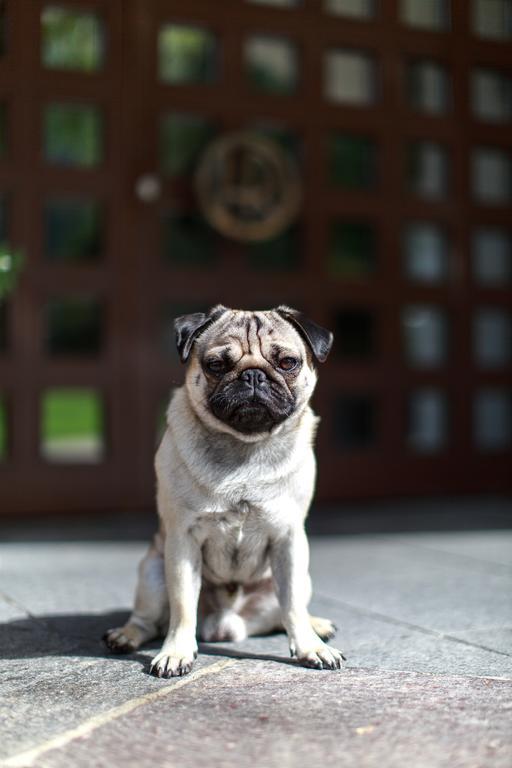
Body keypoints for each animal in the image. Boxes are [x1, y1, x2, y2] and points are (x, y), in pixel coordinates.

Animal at [103, 304, 344, 676]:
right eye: (216, 365)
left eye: (287, 362)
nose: (253, 376)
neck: (244, 446)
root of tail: (228, 626)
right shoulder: (183, 541)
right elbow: (182, 606)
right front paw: (176, 652)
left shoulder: (290, 540)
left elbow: (292, 606)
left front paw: (309, 647)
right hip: (152, 573)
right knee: (148, 621)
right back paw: (125, 635)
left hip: (301, 577)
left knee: (288, 612)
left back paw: (316, 626)